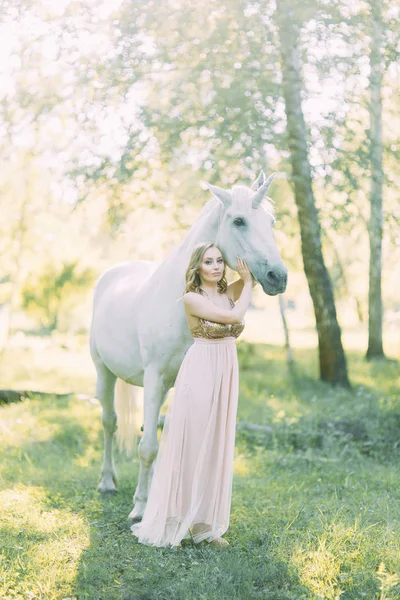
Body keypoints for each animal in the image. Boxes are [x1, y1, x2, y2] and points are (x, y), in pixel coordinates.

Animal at [90, 170, 288, 520]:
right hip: (104, 373)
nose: (278, 276)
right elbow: (147, 447)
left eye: (271, 221)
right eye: (238, 221)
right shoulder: (154, 378)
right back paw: (107, 482)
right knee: (109, 423)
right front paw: (140, 509)